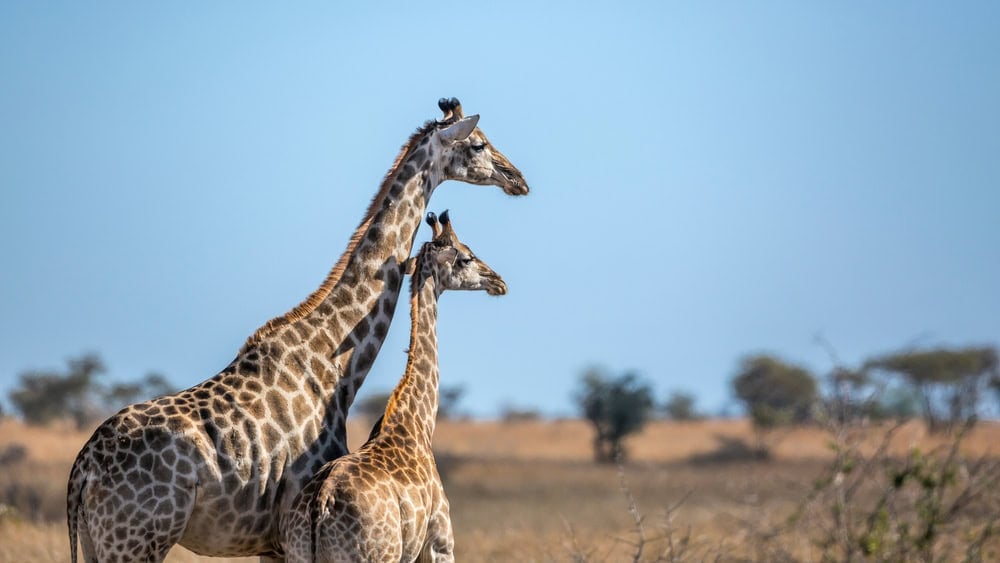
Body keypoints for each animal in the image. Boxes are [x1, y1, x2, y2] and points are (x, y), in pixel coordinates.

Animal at [280, 210, 505, 563]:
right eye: (466, 257)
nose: (498, 281)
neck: (418, 422)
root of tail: (320, 504)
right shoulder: (440, 543)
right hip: (375, 555)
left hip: (297, 553)